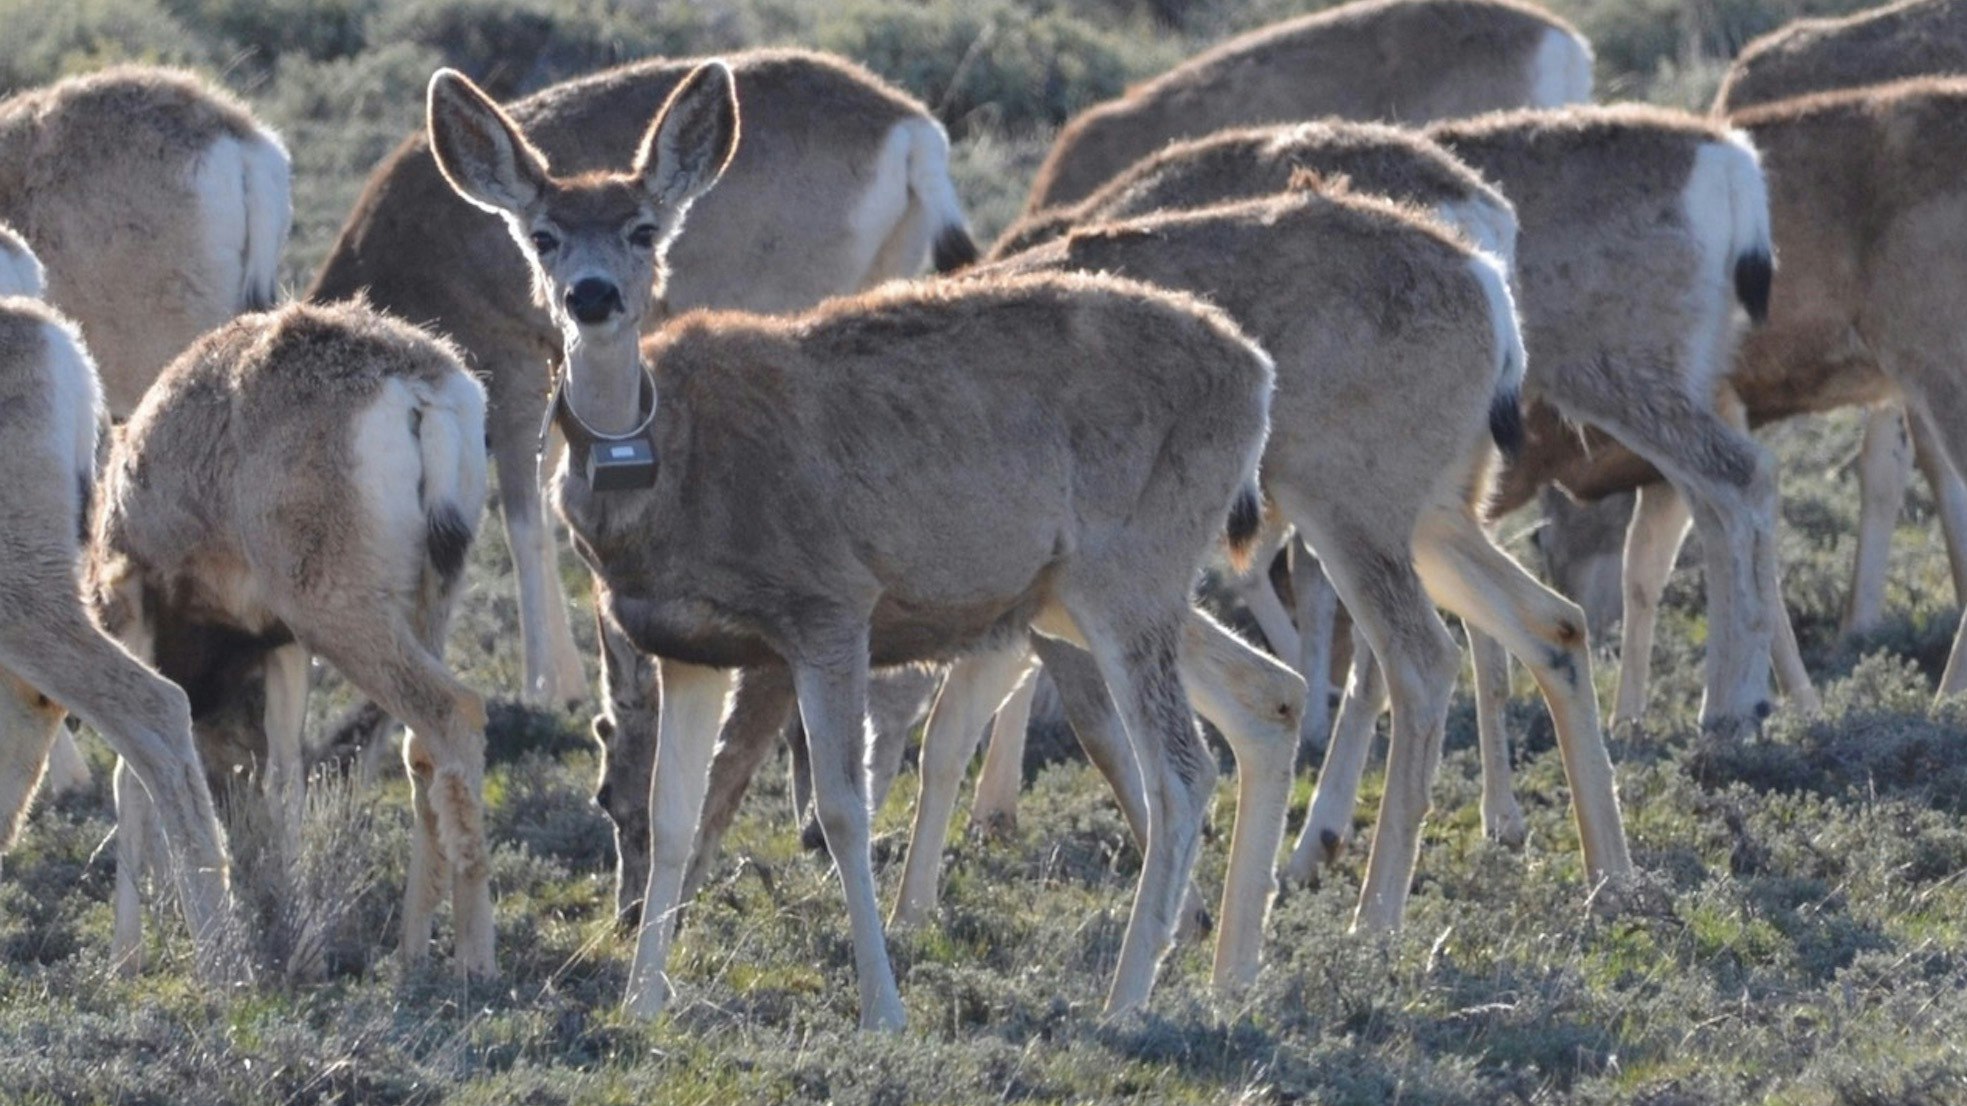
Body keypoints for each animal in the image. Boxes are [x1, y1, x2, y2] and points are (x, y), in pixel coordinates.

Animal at [85, 299, 493, 978]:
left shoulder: (131, 606)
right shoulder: (281, 643)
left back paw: (474, 960)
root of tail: (420, 392)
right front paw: (304, 940)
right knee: (422, 747)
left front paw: (124, 957)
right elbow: (285, 776)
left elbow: (132, 773)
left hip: (333, 605)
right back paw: (410, 952)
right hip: (427, 598)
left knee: (455, 710)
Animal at [311, 48, 978, 708]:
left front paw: (547, 688)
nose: (591, 295)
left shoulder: (512, 360)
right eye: (542, 236)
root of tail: (917, 131)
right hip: (884, 270)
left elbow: (524, 518)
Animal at [425, 62, 1307, 1027]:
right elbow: (675, 817)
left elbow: (843, 809)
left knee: (1181, 773)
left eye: (642, 228)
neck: (676, 476)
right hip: (1086, 586)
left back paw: (1125, 1002)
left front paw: (883, 1006)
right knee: (1268, 696)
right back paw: (1233, 976)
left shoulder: (829, 604)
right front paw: (641, 1004)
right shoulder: (686, 645)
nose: (591, 295)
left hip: (1129, 566)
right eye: (543, 236)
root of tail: (1258, 374)